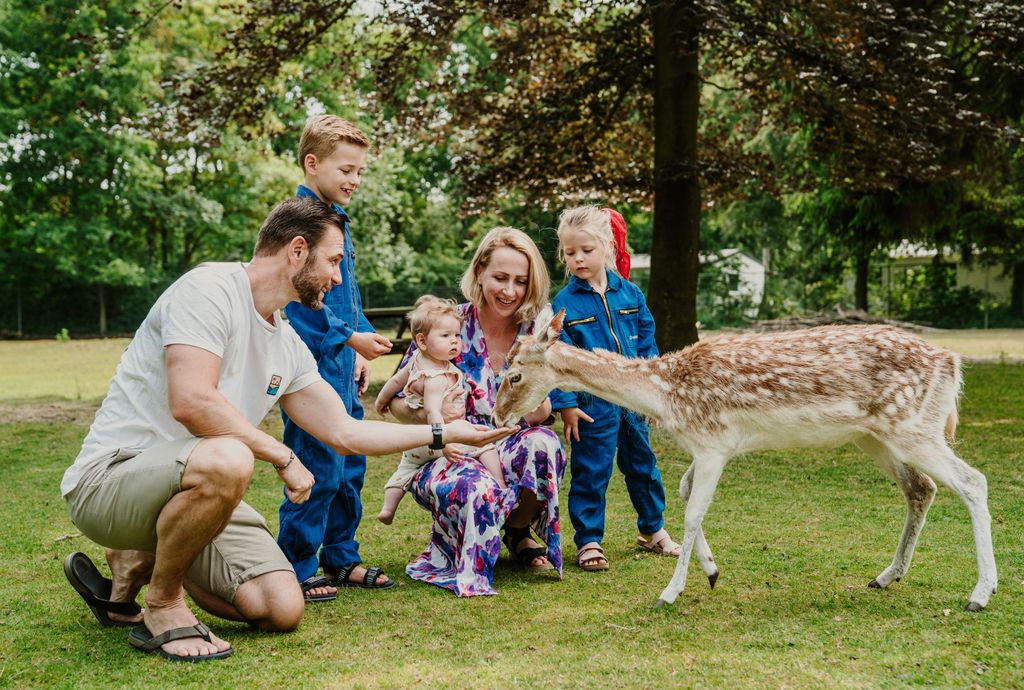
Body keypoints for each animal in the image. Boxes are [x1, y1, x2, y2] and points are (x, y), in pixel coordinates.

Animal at [491, 309, 995, 610]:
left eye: (514, 374)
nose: (496, 414)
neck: (666, 395)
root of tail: (953, 365)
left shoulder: (714, 442)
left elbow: (693, 510)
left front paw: (670, 592)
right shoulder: (709, 446)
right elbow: (683, 491)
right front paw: (713, 572)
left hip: (914, 426)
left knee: (972, 481)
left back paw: (980, 594)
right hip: (877, 437)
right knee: (922, 488)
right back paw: (887, 576)